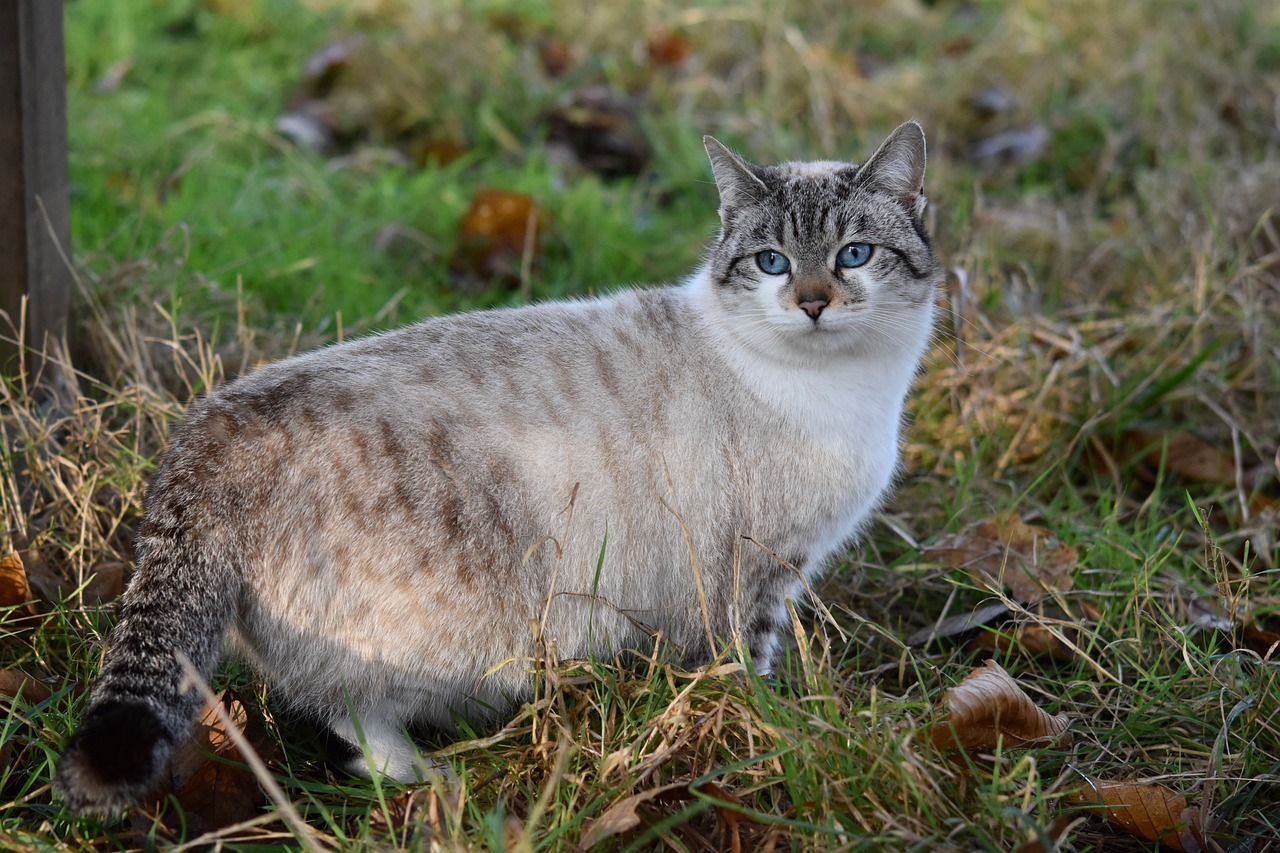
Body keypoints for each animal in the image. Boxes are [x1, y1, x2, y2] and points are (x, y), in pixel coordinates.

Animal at [55, 119, 942, 809]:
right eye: (771, 262)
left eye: (854, 254)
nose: (814, 303)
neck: (842, 392)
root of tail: (206, 430)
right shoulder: (756, 572)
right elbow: (747, 668)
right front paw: (769, 734)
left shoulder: (775, 571)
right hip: (438, 633)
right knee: (346, 707)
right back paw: (427, 776)